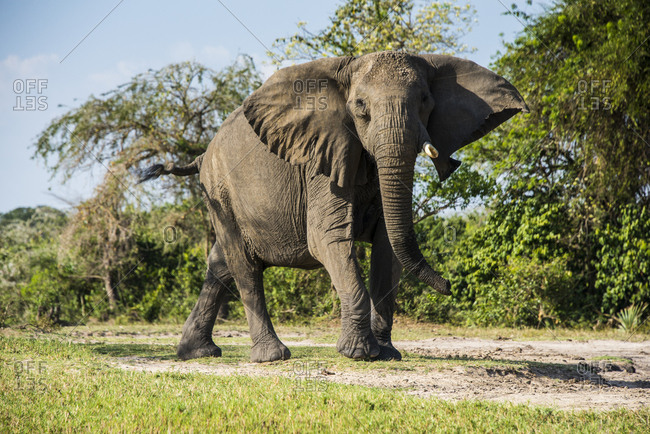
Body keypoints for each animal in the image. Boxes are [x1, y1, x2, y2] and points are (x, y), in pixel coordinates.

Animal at [141, 51, 527, 362]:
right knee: (243, 264)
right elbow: (326, 239)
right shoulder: (321, 162)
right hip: (220, 190)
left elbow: (388, 246)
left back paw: (196, 353)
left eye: (425, 101)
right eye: (360, 108)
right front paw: (359, 354)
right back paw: (272, 357)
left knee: (220, 263)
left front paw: (387, 354)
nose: (450, 285)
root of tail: (202, 155)